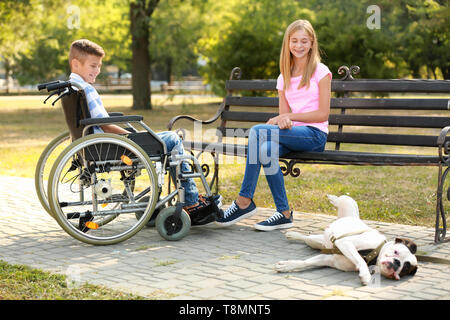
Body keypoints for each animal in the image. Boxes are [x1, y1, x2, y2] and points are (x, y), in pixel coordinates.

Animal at [274, 195, 418, 284]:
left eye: (405, 268)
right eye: (396, 252)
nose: (397, 263)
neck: (375, 255)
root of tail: (352, 217)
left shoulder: (329, 259)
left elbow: (305, 262)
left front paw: (287, 265)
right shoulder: (346, 242)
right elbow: (360, 259)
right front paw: (365, 275)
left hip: (317, 243)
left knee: (307, 239)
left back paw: (293, 235)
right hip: (347, 205)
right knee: (343, 199)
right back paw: (332, 198)